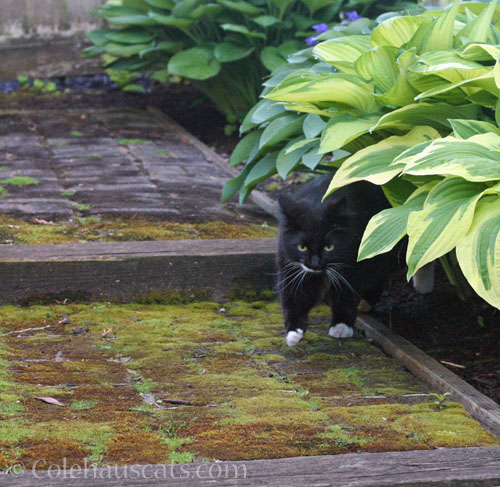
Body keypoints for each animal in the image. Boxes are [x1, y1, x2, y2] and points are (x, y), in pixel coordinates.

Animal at [278, 174, 398, 346]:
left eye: (329, 247)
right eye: (302, 247)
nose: (315, 263)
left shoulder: (355, 265)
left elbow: (347, 294)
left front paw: (341, 326)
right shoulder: (289, 265)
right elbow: (292, 296)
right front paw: (293, 333)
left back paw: (367, 302)